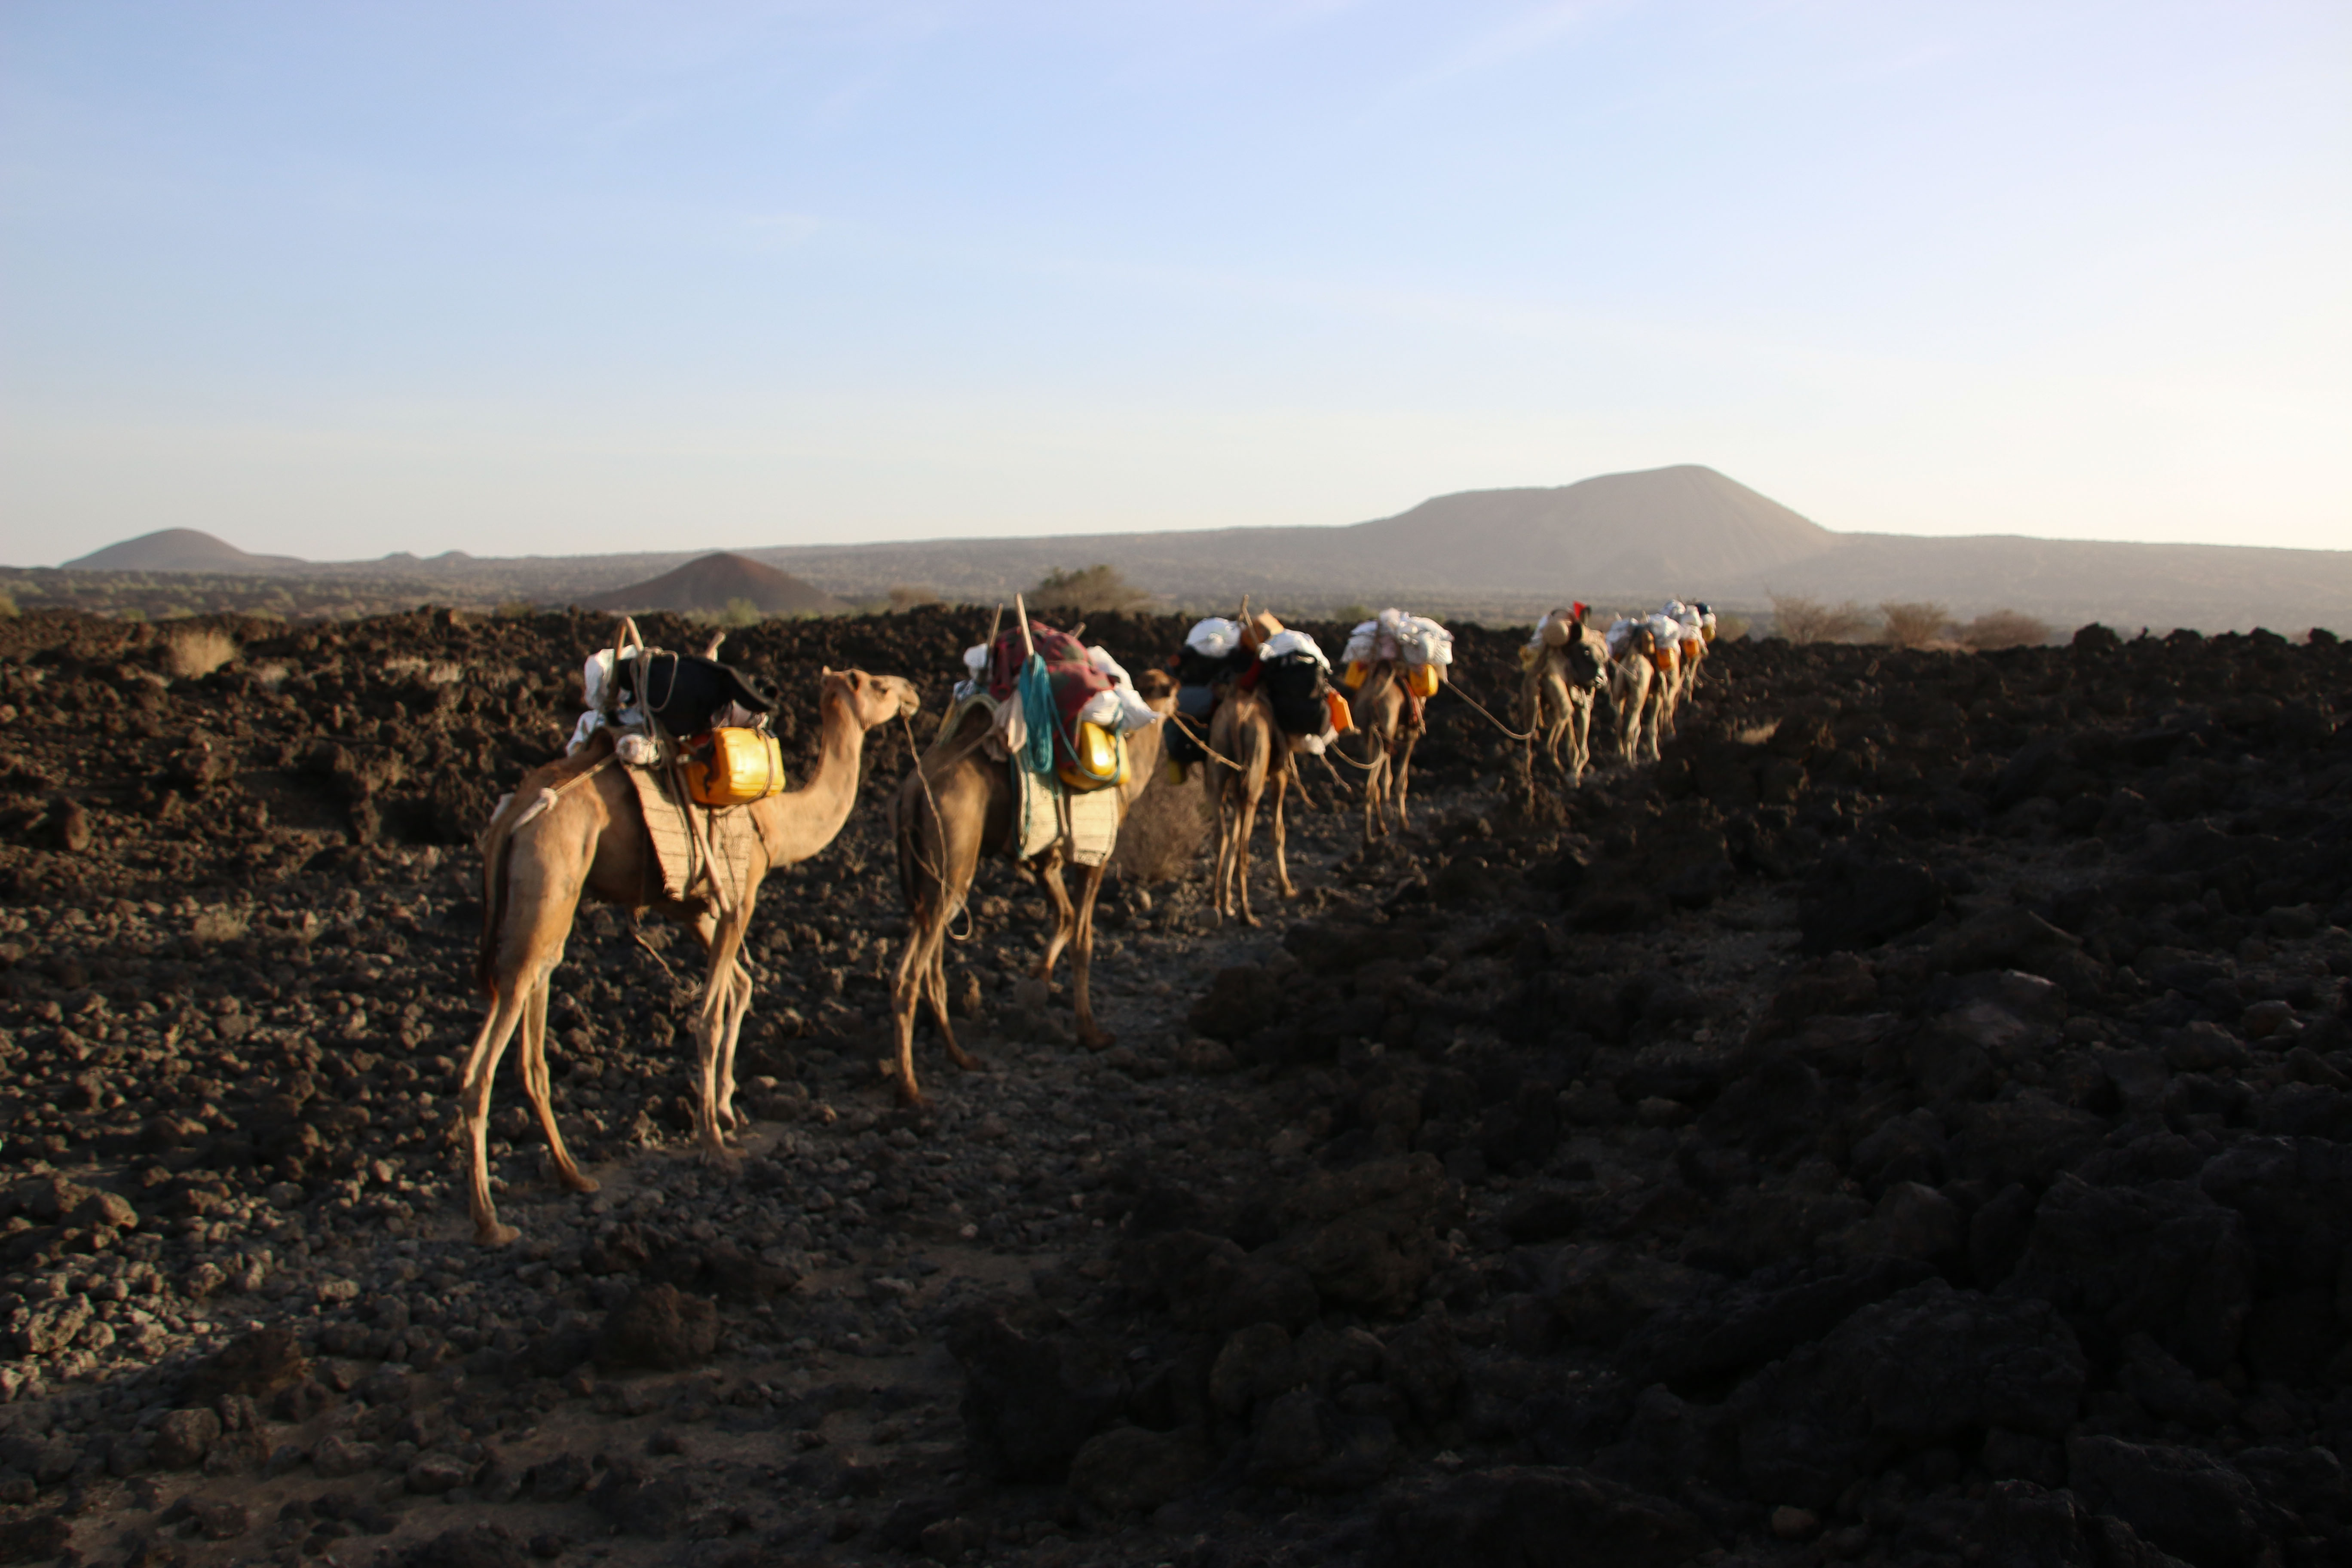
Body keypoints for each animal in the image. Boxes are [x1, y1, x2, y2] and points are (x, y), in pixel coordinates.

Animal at [461, 665, 920, 1245]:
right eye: (879, 686)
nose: (912, 693)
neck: (778, 820)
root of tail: (509, 818)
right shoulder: (740, 893)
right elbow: (706, 1016)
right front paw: (714, 1144)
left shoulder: (695, 906)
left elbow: (739, 987)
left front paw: (725, 1112)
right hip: (546, 874)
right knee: (487, 1056)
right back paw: (489, 1219)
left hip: (547, 907)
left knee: (531, 1031)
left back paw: (572, 1176)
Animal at [886, 669, 1177, 1104]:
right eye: (1174, 687)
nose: (1184, 700)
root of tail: (912, 793)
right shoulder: (1094, 855)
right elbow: (1083, 938)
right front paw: (1091, 1033)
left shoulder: (1041, 858)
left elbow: (1065, 915)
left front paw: (1038, 975)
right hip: (953, 863)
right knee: (908, 976)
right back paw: (910, 1089)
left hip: (933, 882)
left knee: (931, 968)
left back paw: (962, 1058)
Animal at [1208, 686, 1296, 925]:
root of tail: (1237, 720)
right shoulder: (1280, 773)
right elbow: (1278, 832)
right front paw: (1286, 889)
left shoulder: (1237, 785)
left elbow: (1233, 834)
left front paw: (1227, 901)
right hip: (1255, 778)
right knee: (1244, 847)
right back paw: (1247, 915)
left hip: (1220, 766)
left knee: (1222, 836)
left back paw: (1214, 903)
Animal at [1347, 660, 1420, 843]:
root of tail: (1372, 702)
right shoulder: (1410, 734)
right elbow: (1401, 781)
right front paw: (1403, 824)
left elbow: (1386, 778)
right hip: (1386, 729)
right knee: (1372, 784)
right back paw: (1371, 836)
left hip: (1369, 736)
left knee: (1372, 784)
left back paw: (1376, 831)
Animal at [1522, 613, 1611, 787]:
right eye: (1587, 652)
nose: (1601, 679)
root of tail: (1542, 669)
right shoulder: (1584, 705)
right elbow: (1582, 747)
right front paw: (1574, 775)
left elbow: (1572, 743)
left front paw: (1574, 770)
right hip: (1558, 694)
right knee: (1551, 742)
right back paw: (1560, 772)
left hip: (1531, 697)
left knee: (1529, 737)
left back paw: (1527, 777)